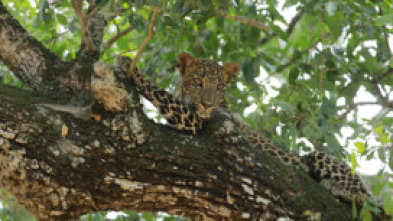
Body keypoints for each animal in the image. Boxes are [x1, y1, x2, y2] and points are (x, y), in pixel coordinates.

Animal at [126, 51, 370, 207]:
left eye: (219, 87)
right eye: (198, 83)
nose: (207, 104)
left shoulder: (197, 120)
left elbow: (161, 94)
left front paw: (130, 67)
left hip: (319, 157)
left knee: (364, 195)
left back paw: (336, 186)